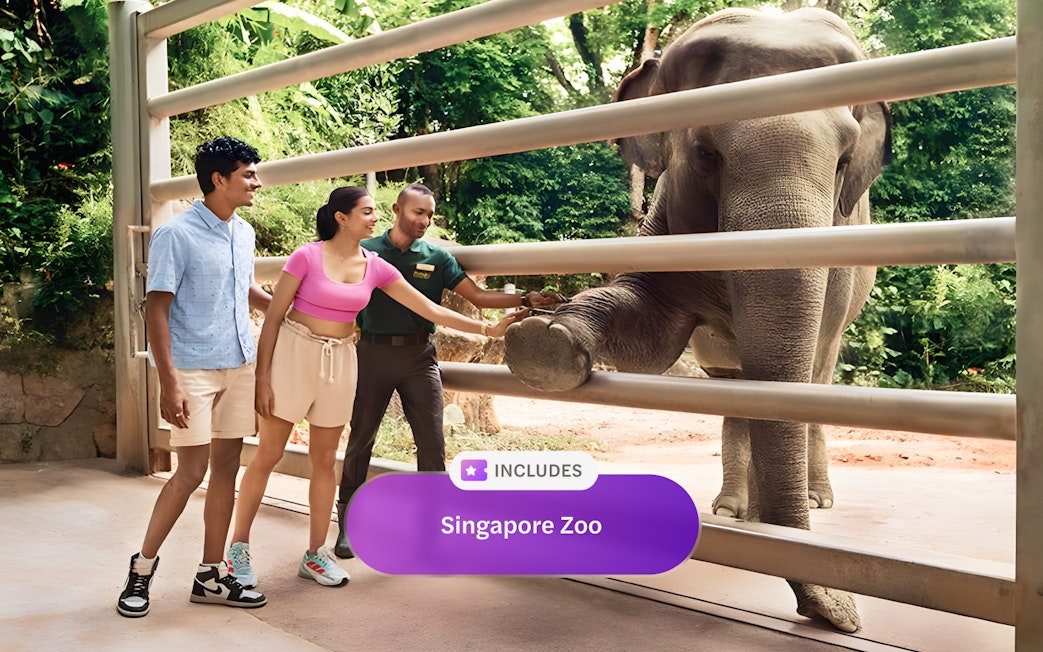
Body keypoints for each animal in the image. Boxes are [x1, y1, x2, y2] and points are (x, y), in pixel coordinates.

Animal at [503, 7, 891, 633]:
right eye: (708, 153)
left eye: (842, 162)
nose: (838, 615)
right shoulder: (665, 224)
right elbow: (650, 336)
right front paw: (545, 342)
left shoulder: (837, 263)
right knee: (738, 391)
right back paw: (736, 511)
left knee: (816, 376)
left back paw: (811, 501)